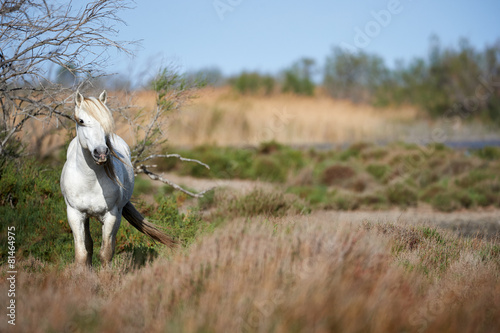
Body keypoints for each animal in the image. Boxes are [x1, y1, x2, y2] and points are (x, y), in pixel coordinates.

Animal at [60, 91, 175, 268]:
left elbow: (106, 253)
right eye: (81, 121)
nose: (101, 152)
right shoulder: (75, 214)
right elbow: (82, 253)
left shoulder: (111, 215)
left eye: (107, 122)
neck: (90, 181)